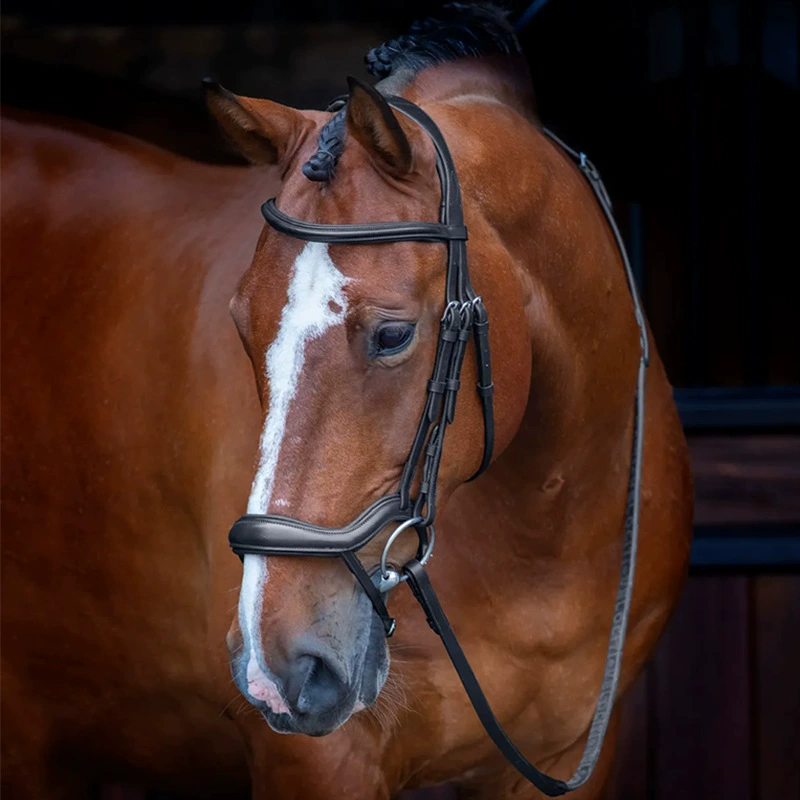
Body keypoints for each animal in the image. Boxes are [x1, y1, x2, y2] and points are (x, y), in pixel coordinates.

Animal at [1, 4, 693, 798]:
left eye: (393, 334)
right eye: (242, 325)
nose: (277, 666)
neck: (542, 532)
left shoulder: (569, 754)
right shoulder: (319, 760)